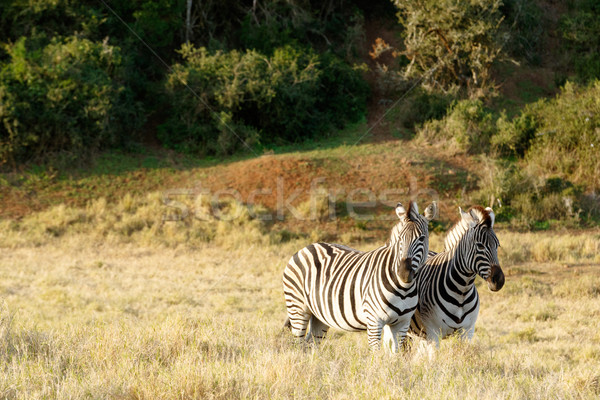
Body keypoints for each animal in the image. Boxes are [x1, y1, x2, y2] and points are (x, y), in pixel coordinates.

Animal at [284, 202, 438, 352]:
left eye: (422, 238)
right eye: (400, 238)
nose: (403, 273)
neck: (403, 288)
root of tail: (306, 248)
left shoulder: (402, 323)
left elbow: (396, 354)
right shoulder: (374, 321)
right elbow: (376, 354)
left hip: (319, 315)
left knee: (311, 344)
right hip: (297, 308)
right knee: (299, 345)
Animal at [410, 206, 504, 344]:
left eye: (497, 245)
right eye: (480, 246)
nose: (499, 281)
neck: (462, 291)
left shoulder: (467, 332)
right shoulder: (433, 332)